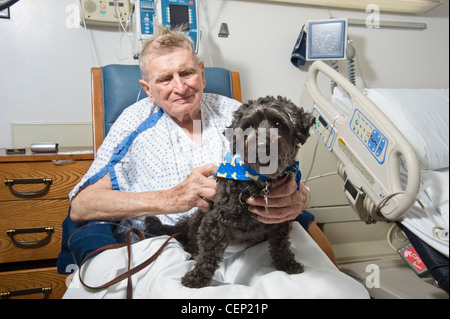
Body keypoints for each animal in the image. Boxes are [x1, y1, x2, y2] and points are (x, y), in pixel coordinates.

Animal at [146, 96, 314, 288]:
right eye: (249, 126)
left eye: (278, 123)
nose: (262, 146)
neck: (259, 183)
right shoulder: (215, 221)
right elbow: (209, 253)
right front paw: (197, 276)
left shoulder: (281, 220)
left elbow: (281, 245)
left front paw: (287, 263)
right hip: (200, 215)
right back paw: (193, 250)